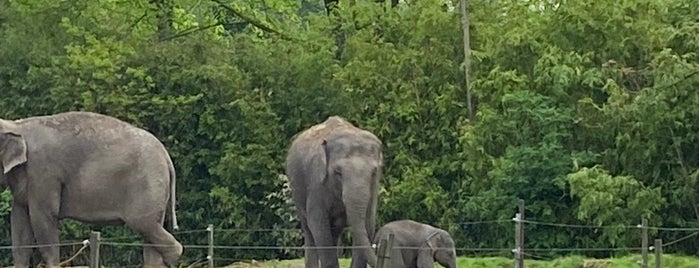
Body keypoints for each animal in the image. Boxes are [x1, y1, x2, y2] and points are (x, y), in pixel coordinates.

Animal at [0, 111, 183, 268]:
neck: (17, 125)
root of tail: (167, 157)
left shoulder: (43, 172)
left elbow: (43, 218)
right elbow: (19, 224)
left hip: (148, 184)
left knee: (144, 224)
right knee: (151, 233)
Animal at [284, 115, 382, 268]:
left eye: (374, 172)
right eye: (338, 172)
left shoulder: (373, 189)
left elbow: (368, 223)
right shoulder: (316, 182)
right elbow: (319, 225)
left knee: (334, 232)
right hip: (297, 192)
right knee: (309, 230)